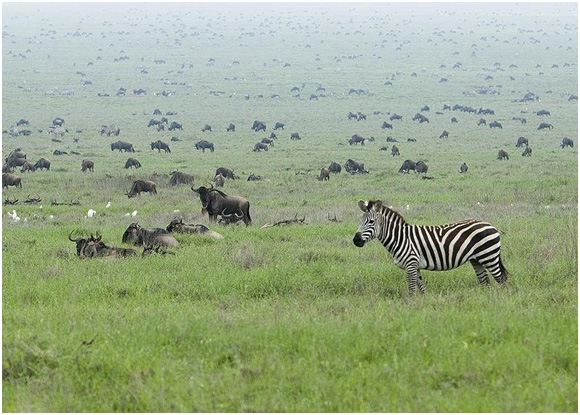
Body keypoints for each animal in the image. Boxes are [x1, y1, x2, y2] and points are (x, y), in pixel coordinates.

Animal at [354, 199, 508, 294]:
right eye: (360, 221)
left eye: (371, 221)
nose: (356, 240)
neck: (400, 238)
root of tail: (491, 225)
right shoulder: (415, 266)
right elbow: (422, 288)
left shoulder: (411, 263)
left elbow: (411, 289)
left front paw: (410, 307)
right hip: (477, 260)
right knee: (485, 282)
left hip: (489, 256)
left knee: (502, 280)